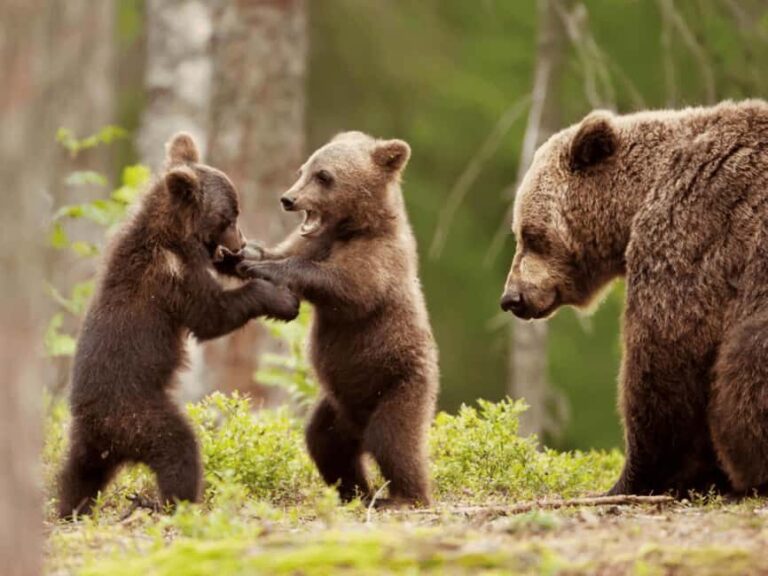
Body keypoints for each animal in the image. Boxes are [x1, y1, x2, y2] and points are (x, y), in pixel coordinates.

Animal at [57, 133, 299, 518]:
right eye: (229, 215)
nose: (241, 242)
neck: (174, 235)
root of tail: (102, 429)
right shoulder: (172, 278)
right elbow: (212, 315)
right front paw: (280, 298)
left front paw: (251, 260)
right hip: (138, 414)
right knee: (178, 447)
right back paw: (177, 502)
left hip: (89, 441)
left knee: (77, 474)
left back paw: (69, 507)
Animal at [236, 131, 439, 507]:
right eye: (303, 169)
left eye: (324, 176)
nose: (288, 199)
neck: (353, 227)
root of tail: (358, 424)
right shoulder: (315, 240)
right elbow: (287, 251)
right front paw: (249, 252)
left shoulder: (380, 258)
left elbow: (347, 288)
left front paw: (265, 268)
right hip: (336, 407)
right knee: (325, 443)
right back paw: (356, 492)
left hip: (399, 385)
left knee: (394, 441)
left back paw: (405, 496)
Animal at [500, 100, 768, 497]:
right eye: (520, 232)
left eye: (531, 234)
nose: (512, 298)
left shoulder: (694, 230)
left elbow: (665, 354)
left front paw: (633, 478)